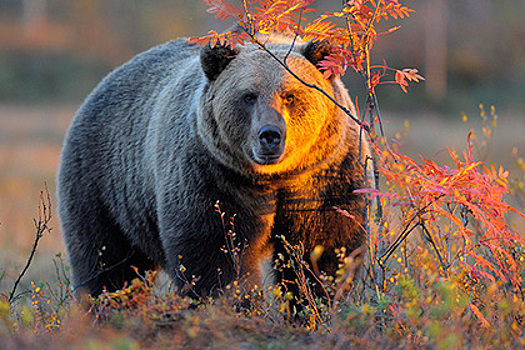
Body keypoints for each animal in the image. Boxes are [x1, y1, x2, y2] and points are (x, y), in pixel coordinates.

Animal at [57, 35, 368, 304]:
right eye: (248, 96)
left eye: (290, 95)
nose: (269, 135)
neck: (276, 179)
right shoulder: (214, 176)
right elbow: (216, 253)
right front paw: (234, 304)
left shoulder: (325, 177)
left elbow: (323, 248)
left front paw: (313, 304)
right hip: (106, 184)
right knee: (107, 262)